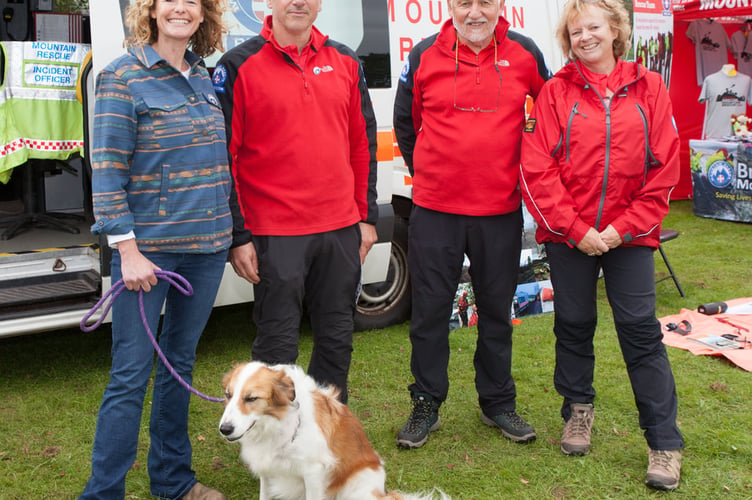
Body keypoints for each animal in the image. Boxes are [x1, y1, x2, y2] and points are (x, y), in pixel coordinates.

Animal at [220, 364, 450, 500]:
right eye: (228, 395)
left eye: (251, 398)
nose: (224, 429)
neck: (276, 425)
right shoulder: (267, 471)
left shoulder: (313, 473)